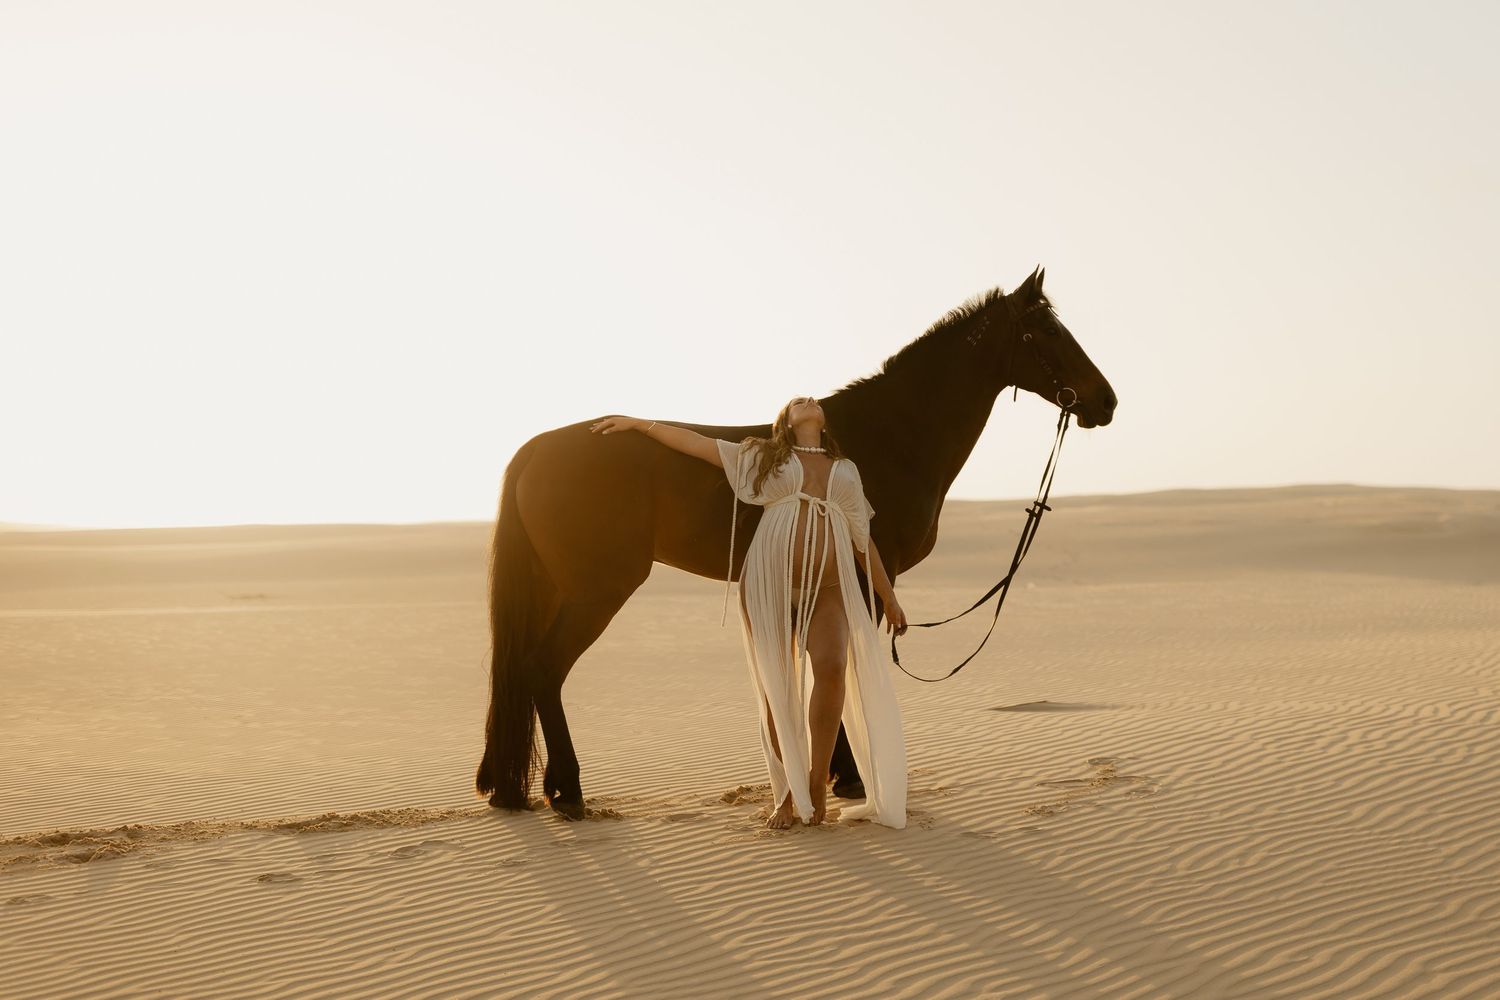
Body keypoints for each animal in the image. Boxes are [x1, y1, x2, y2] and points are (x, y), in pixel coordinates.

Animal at [476, 266, 1117, 819]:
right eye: (1046, 332)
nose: (1105, 401)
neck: (896, 433)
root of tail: (538, 447)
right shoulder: (866, 572)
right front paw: (849, 778)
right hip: (597, 590)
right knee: (543, 669)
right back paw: (569, 793)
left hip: (559, 589)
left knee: (528, 672)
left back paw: (521, 790)